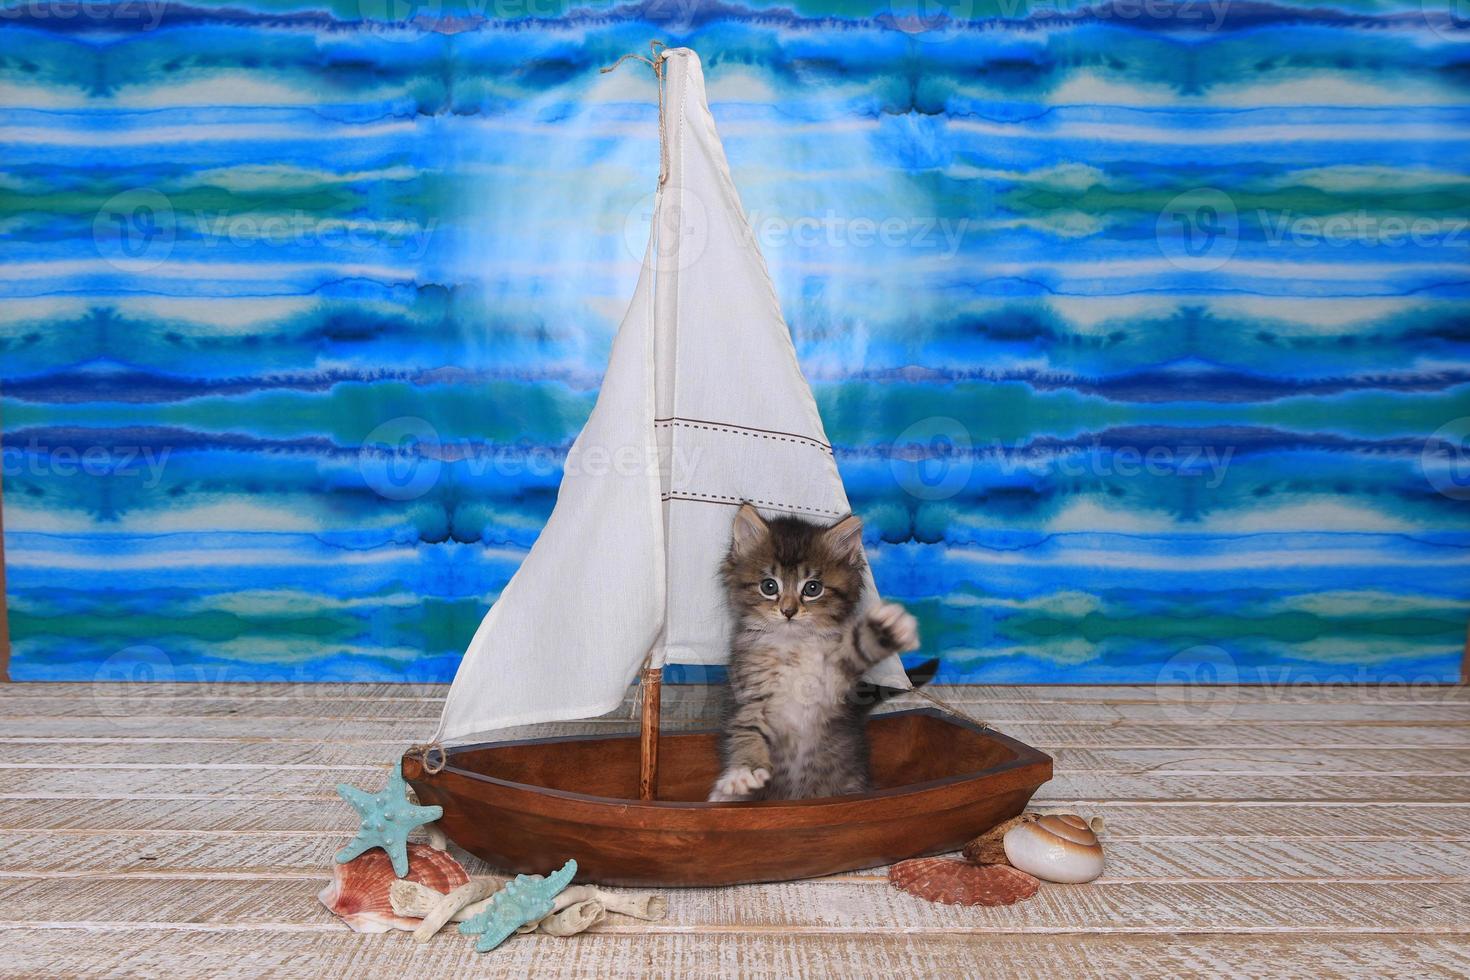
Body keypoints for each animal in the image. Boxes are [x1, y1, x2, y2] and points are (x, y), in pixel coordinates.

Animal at [708, 505, 917, 805]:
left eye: (812, 588)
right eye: (769, 586)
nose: (788, 611)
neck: (792, 645)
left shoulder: (833, 680)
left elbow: (857, 647)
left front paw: (886, 627)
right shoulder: (750, 695)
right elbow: (747, 732)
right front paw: (743, 773)